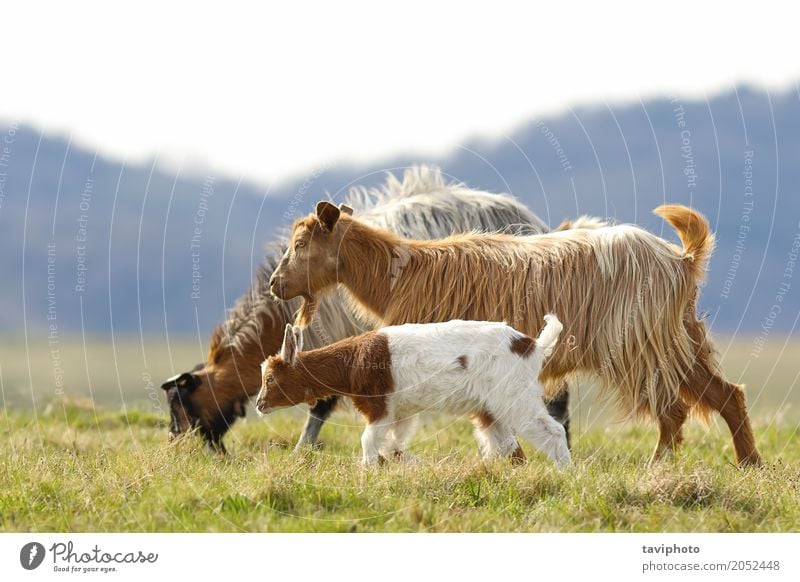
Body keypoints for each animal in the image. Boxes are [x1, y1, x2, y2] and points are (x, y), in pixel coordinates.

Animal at [256, 318, 568, 468]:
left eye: (270, 378)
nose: (259, 405)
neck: (353, 361)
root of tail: (531, 345)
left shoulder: (379, 405)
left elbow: (368, 440)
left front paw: (367, 471)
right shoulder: (399, 412)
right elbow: (391, 444)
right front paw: (412, 463)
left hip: (514, 395)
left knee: (551, 430)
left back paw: (565, 471)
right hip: (490, 405)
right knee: (506, 446)